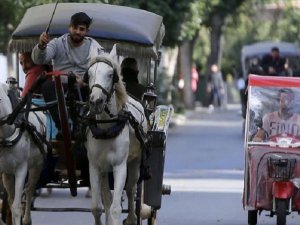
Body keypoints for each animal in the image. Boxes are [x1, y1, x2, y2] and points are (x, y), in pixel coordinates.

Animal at [0, 83, 46, 225]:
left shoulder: (21, 168)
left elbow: (17, 206)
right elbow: (11, 203)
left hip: (37, 166)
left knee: (29, 189)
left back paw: (26, 220)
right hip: (7, 173)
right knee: (10, 198)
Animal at [85, 45, 148, 225]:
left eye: (110, 74)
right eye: (88, 74)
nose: (96, 101)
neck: (107, 127)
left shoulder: (120, 166)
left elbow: (115, 208)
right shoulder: (95, 166)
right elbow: (97, 207)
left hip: (135, 161)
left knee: (131, 188)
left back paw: (132, 218)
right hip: (105, 170)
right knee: (106, 198)